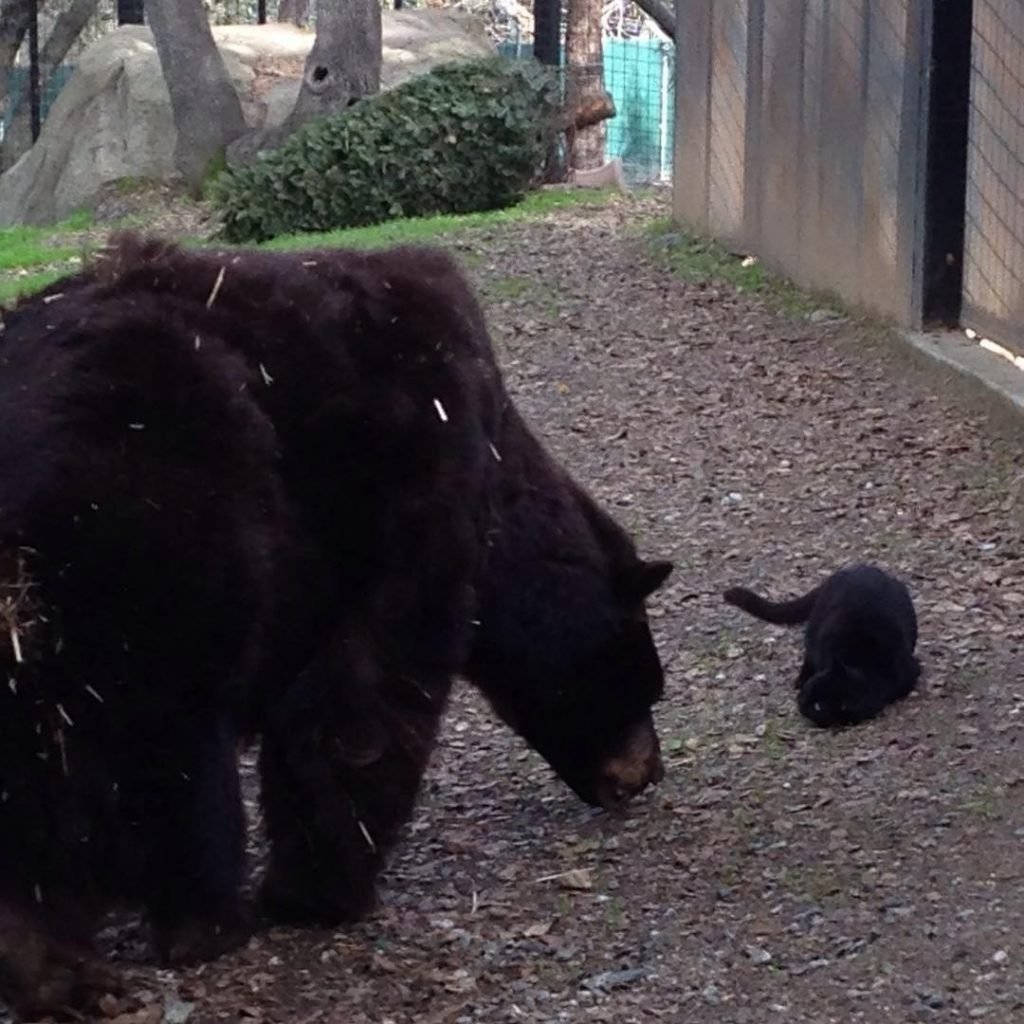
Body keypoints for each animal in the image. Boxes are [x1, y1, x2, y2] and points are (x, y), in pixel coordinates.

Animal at [0, 237, 671, 1015]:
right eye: (644, 684)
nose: (645, 775)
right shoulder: (412, 490)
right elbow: (365, 692)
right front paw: (322, 890)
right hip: (161, 545)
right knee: (173, 744)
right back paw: (198, 922)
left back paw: (49, 958)